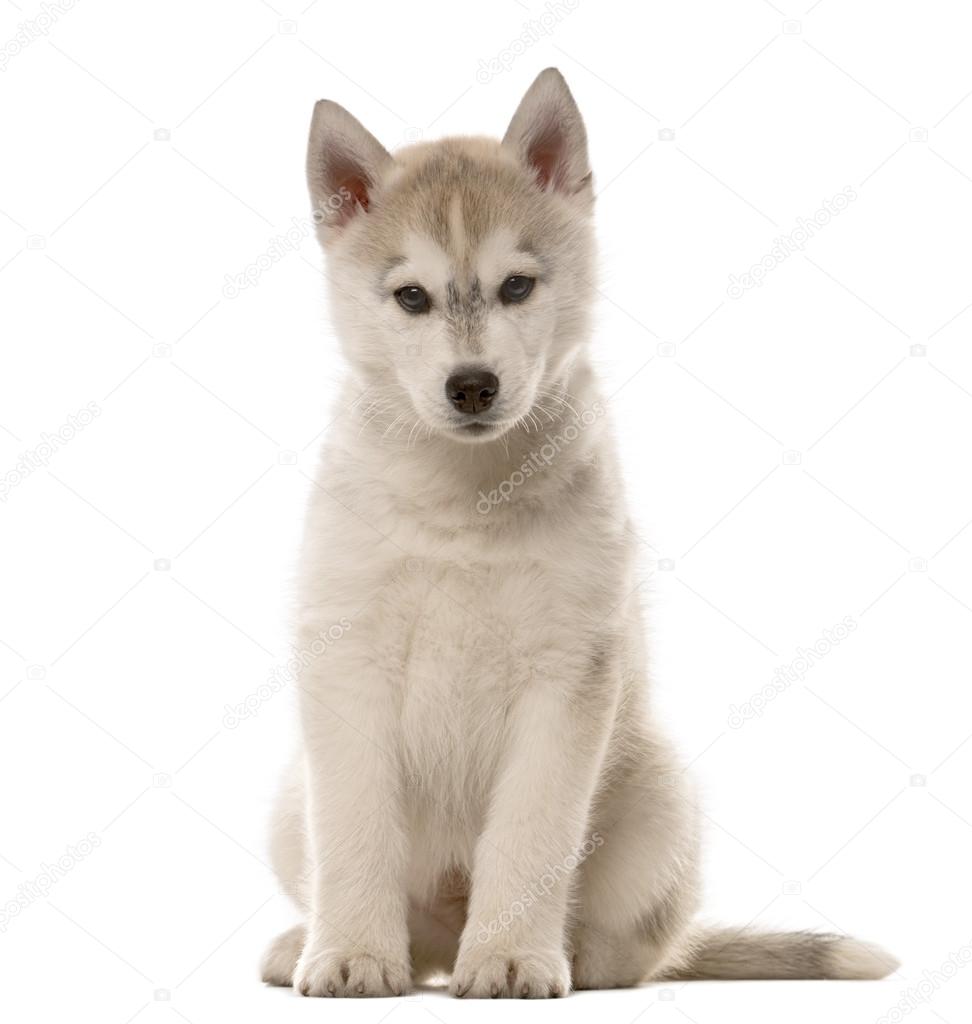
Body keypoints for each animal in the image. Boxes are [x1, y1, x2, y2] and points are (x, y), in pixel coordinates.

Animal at [262, 68, 897, 995]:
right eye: (411, 296)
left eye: (517, 287)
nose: (472, 386)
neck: (465, 502)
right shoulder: (345, 661)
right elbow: (353, 833)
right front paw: (350, 955)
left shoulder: (569, 673)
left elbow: (531, 838)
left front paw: (512, 958)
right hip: (288, 799)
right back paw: (313, 945)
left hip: (661, 794)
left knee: (641, 950)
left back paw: (568, 954)